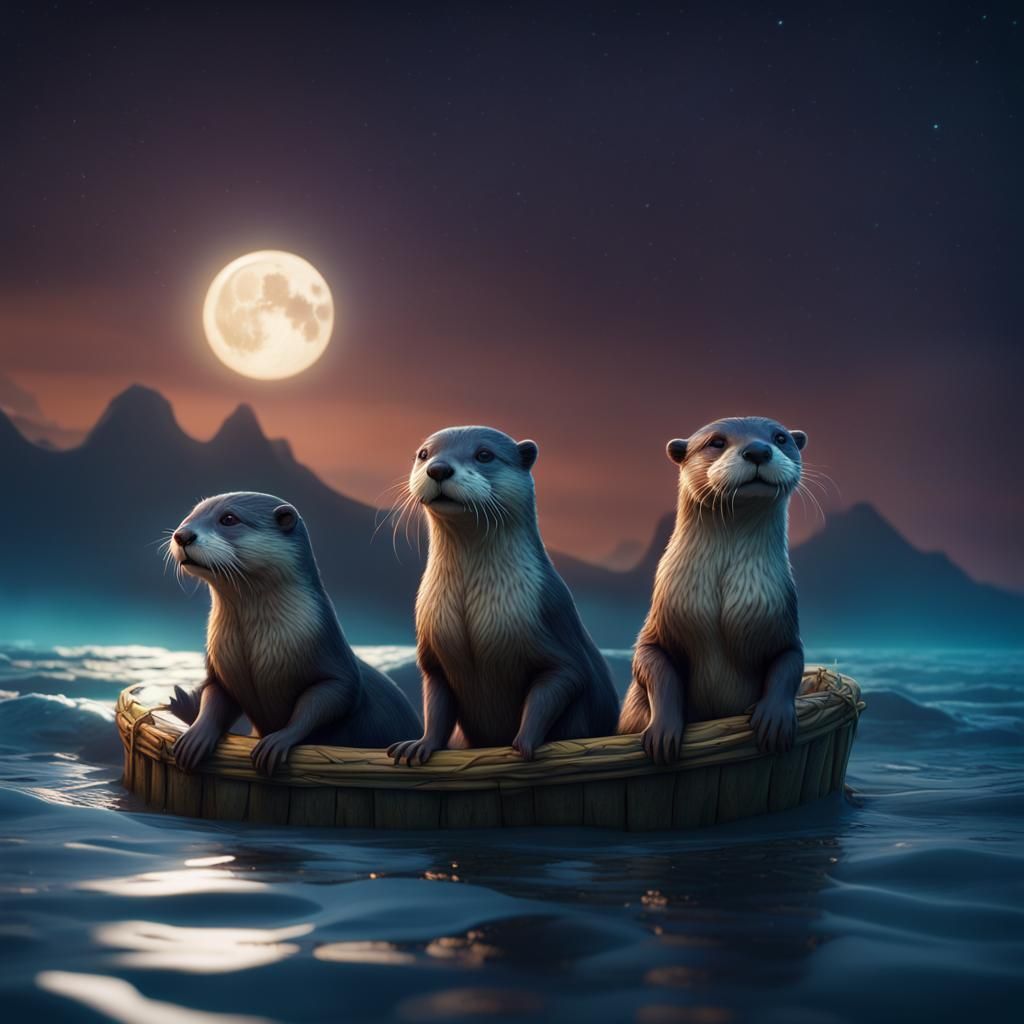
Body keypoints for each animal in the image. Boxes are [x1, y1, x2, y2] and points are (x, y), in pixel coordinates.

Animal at [164, 491, 420, 775]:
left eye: (229, 519)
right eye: (191, 515)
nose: (183, 535)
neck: (252, 648)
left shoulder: (333, 661)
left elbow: (328, 697)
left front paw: (278, 739)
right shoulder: (222, 669)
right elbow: (214, 695)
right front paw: (196, 736)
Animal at [387, 426, 619, 766]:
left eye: (484, 454)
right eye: (424, 454)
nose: (438, 468)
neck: (470, 613)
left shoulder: (553, 632)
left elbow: (554, 686)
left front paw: (524, 743)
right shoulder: (434, 654)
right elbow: (437, 705)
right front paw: (421, 744)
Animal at [619, 417, 808, 763]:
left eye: (780, 438)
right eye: (717, 442)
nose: (758, 450)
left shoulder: (782, 620)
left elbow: (789, 663)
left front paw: (774, 719)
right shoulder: (660, 623)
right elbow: (653, 664)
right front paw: (663, 731)